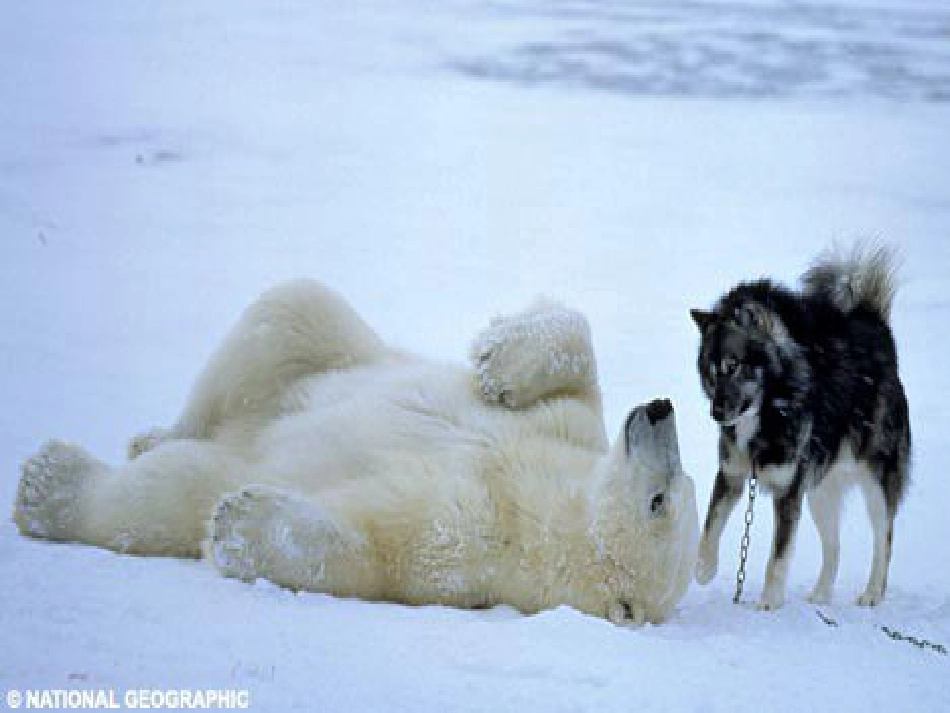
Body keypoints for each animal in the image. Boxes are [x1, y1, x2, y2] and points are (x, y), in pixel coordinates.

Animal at [13, 278, 700, 624]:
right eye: (680, 486)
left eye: (661, 500)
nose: (661, 410)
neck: (543, 495)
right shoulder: (569, 430)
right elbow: (576, 357)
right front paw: (497, 359)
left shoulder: (476, 541)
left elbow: (378, 546)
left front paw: (242, 521)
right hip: (313, 358)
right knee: (290, 311)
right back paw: (150, 434)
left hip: (225, 458)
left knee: (164, 492)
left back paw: (49, 485)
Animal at [692, 246, 916, 608]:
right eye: (710, 373)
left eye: (733, 366)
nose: (716, 413)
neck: (768, 414)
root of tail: (877, 328)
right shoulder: (732, 475)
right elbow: (710, 526)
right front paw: (702, 569)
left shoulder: (787, 492)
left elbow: (777, 557)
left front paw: (769, 601)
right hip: (819, 493)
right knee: (834, 547)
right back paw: (822, 593)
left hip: (876, 484)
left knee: (884, 539)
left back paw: (872, 593)